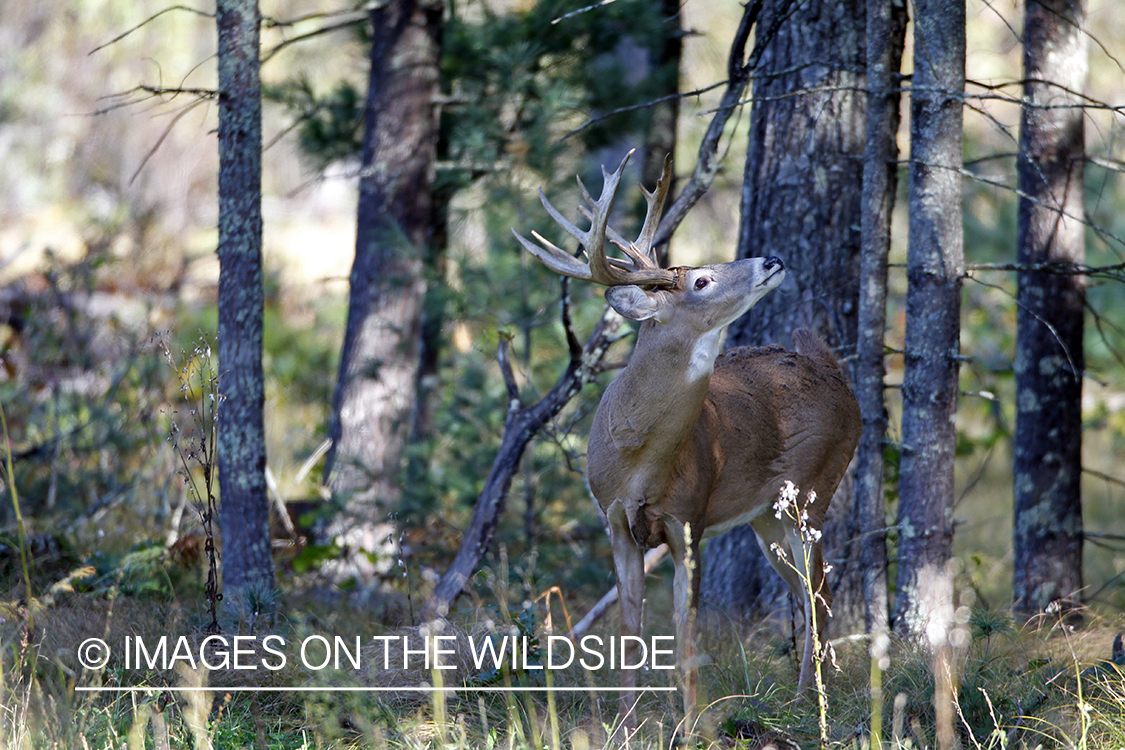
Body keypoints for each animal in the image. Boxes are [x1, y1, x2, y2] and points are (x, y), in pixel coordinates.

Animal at [513, 150, 859, 733]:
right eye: (700, 280)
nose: (772, 259)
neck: (639, 463)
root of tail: (834, 373)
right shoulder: (614, 520)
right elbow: (630, 633)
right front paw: (625, 723)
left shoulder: (689, 519)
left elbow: (685, 635)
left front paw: (693, 724)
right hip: (767, 517)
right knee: (809, 591)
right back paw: (805, 697)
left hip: (814, 490)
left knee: (820, 594)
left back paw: (810, 703)